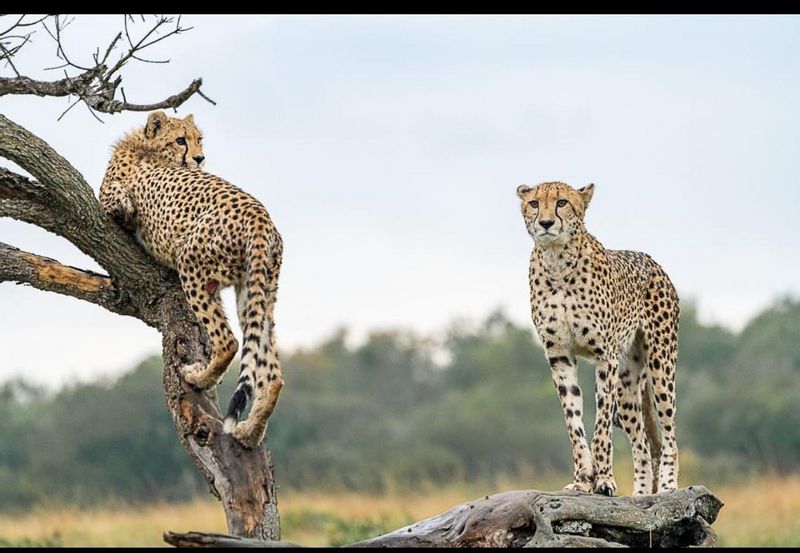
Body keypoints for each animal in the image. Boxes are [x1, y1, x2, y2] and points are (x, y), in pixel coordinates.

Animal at [99, 109, 282, 448]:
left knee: (228, 342)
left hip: (191, 262)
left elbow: (116, 202)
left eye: (199, 140)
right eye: (181, 140)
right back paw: (250, 431)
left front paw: (124, 207)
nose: (200, 158)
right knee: (273, 374)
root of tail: (260, 216)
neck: (148, 147)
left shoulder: (112, 196)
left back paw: (198, 377)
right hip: (256, 292)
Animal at [516, 181, 680, 496]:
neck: (557, 261)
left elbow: (601, 426)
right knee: (641, 444)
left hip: (660, 365)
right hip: (628, 382)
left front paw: (603, 479)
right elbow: (574, 423)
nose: (546, 223)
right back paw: (641, 495)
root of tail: (652, 260)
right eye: (534, 203)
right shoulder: (559, 356)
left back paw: (668, 486)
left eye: (562, 202)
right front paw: (582, 479)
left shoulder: (606, 358)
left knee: (669, 434)